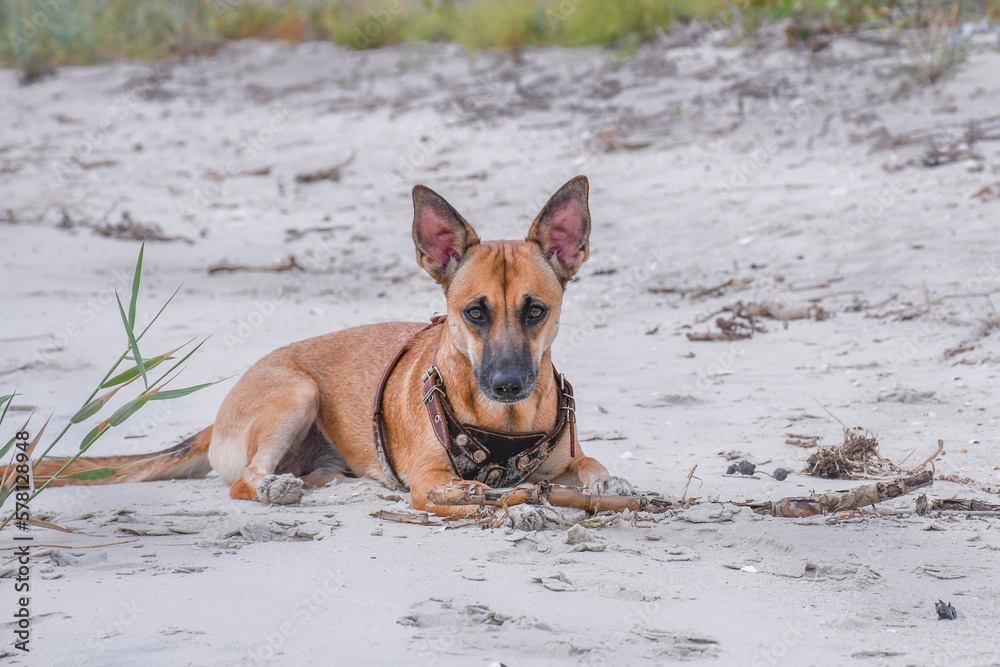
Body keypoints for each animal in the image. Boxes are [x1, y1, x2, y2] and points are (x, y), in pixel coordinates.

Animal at [23, 176, 632, 516]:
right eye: (474, 313)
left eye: (536, 311)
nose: (508, 385)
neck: (503, 426)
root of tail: (217, 419)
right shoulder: (432, 479)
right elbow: (462, 490)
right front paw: (495, 501)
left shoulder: (563, 460)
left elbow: (591, 462)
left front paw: (608, 480)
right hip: (296, 394)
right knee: (242, 482)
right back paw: (275, 488)